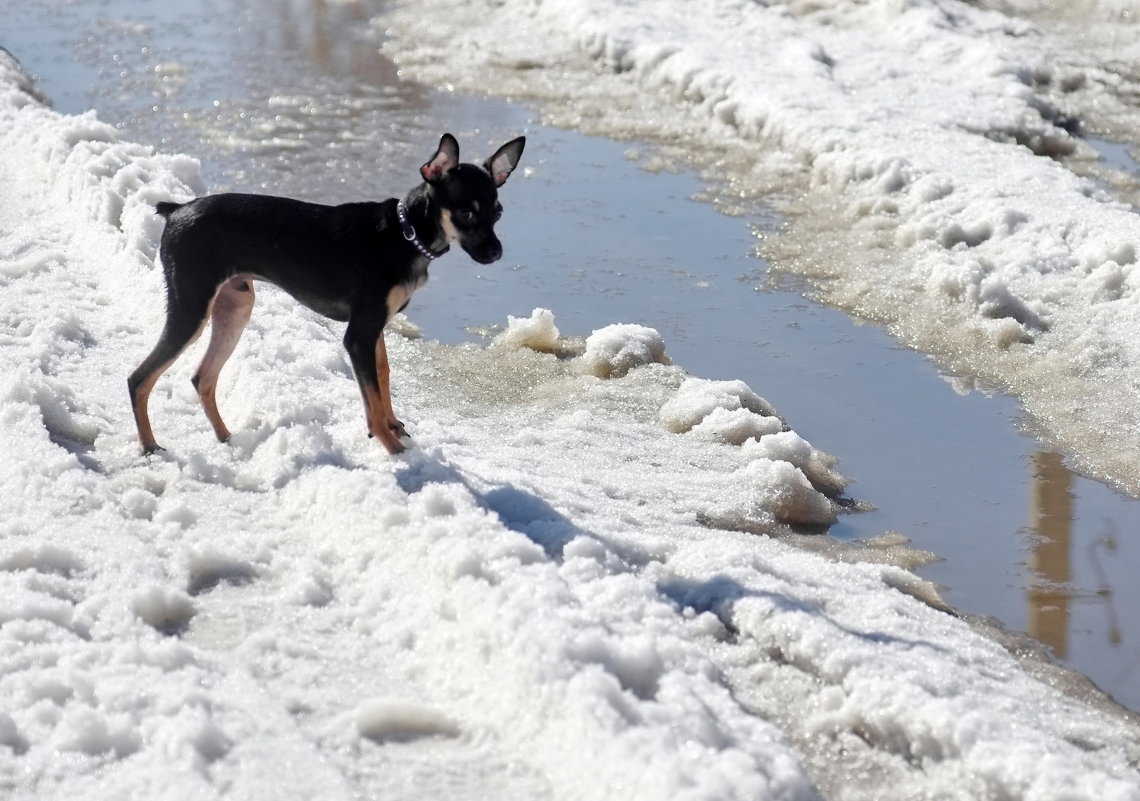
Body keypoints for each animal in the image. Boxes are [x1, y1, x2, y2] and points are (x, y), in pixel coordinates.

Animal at [128, 134, 524, 453]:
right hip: (192, 310)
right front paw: (394, 450)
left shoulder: (373, 330)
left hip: (235, 308)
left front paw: (393, 426)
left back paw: (226, 437)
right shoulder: (358, 336)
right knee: (139, 379)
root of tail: (176, 209)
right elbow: (372, 400)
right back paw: (150, 447)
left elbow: (382, 378)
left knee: (202, 378)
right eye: (466, 213)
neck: (404, 233)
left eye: (497, 212)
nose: (496, 253)